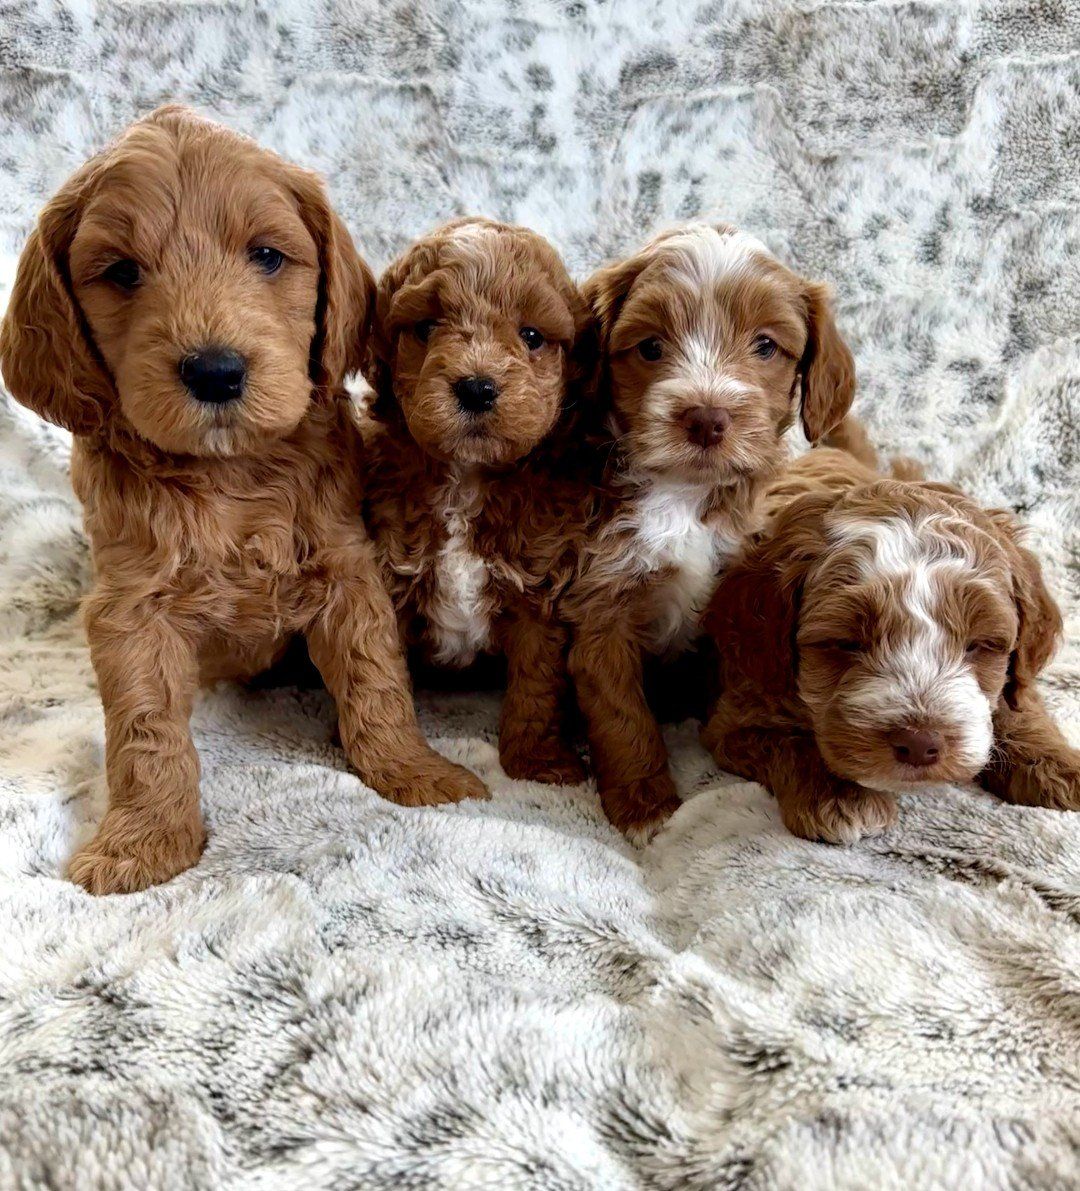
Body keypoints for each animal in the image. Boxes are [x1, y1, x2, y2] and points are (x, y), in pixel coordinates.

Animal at [0, 106, 485, 895]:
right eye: (122, 272)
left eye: (266, 256)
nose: (215, 371)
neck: (228, 476)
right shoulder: (130, 607)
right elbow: (144, 725)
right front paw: (143, 839)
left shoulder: (346, 569)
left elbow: (375, 676)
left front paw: (413, 769)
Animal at [362, 217, 596, 783]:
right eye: (426, 328)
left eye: (531, 336)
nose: (476, 387)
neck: (466, 477)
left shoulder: (539, 586)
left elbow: (536, 684)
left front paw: (537, 762)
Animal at [564, 222, 856, 843]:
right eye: (650, 347)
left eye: (766, 346)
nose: (706, 417)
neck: (683, 498)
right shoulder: (602, 600)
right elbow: (621, 713)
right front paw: (646, 805)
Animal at [701, 439, 1080, 843]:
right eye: (845, 642)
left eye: (979, 644)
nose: (919, 744)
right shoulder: (737, 717)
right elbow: (791, 742)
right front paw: (841, 797)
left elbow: (1018, 708)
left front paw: (1060, 766)